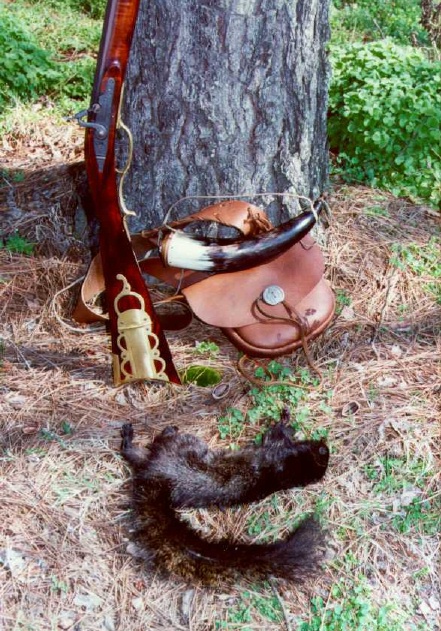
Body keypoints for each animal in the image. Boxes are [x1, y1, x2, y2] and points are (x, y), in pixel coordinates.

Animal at [119, 412, 326, 584]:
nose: (325, 445)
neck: (288, 470)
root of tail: (156, 483)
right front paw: (289, 423)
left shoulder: (274, 448)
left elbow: (274, 433)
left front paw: (285, 420)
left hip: (178, 449)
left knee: (142, 450)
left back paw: (155, 431)